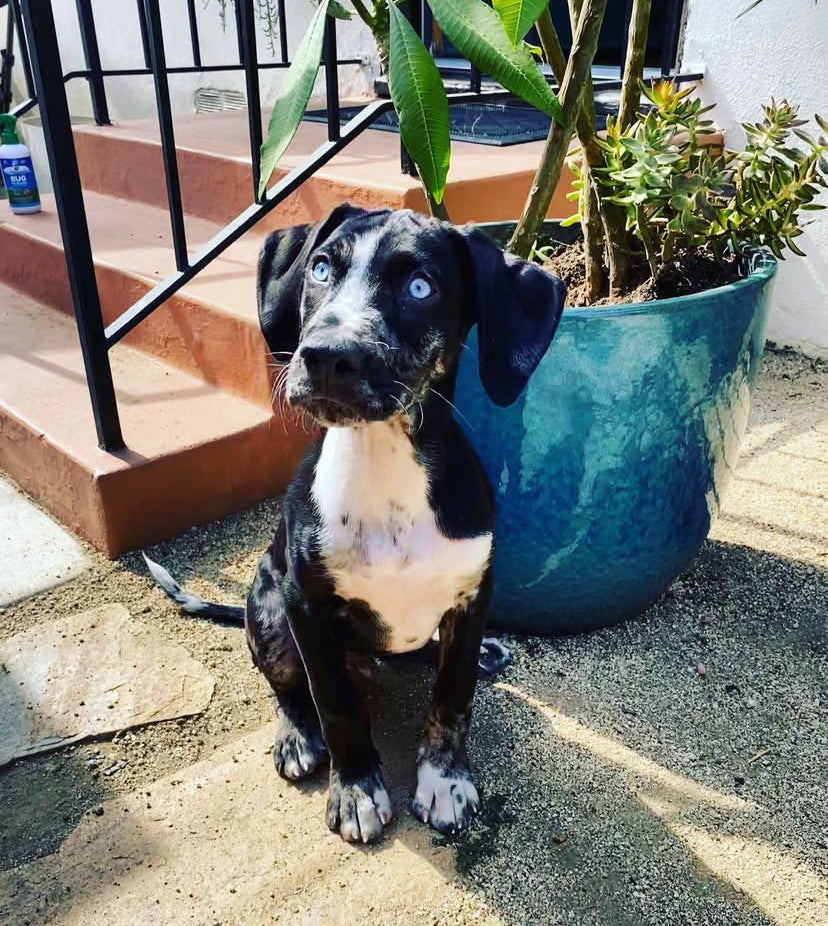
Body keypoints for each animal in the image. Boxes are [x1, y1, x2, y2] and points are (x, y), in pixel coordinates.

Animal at [149, 207, 568, 844]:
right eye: (321, 268)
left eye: (421, 286)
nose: (324, 356)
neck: (383, 462)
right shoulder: (307, 607)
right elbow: (337, 706)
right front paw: (354, 791)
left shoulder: (472, 596)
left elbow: (452, 698)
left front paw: (444, 780)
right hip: (268, 609)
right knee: (288, 689)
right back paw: (296, 736)